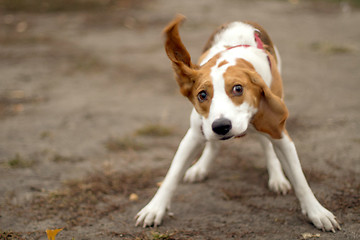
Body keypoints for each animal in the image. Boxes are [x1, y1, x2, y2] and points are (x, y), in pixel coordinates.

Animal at [135, 15, 340, 232]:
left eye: (238, 89)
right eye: (202, 95)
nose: (221, 126)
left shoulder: (280, 133)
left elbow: (300, 180)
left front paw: (317, 212)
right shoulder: (194, 135)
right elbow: (172, 176)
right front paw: (155, 208)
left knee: (267, 146)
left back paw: (277, 177)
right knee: (214, 146)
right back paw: (201, 166)